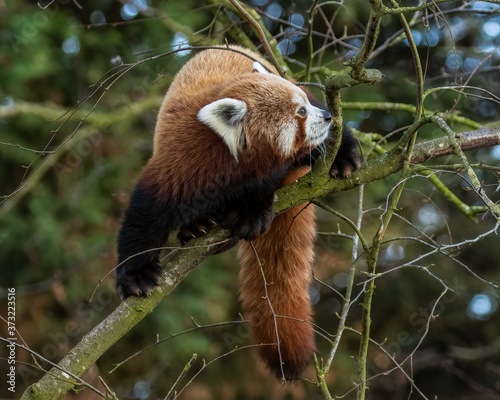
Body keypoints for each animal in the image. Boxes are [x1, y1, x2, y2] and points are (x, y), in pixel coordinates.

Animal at [117, 45, 360, 380]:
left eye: (305, 104)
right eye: (300, 112)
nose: (324, 116)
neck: (231, 159)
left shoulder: (263, 172)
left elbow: (261, 191)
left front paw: (251, 213)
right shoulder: (179, 162)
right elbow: (144, 217)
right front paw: (136, 275)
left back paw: (343, 157)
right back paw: (197, 226)